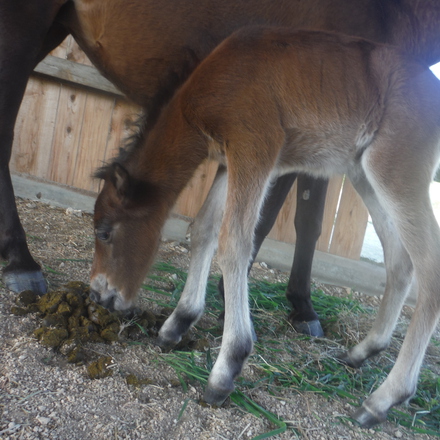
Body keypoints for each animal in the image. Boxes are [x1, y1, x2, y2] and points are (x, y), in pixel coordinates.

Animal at [2, 0, 440, 334]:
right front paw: (266, 303)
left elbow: (297, 220)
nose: (98, 295)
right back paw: (21, 264)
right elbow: (282, 220)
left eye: (105, 233)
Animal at [90, 27, 440, 426]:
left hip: (398, 170)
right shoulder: (228, 161)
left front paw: (227, 368)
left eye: (105, 232)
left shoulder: (255, 147)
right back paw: (362, 352)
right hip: (364, 173)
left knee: (429, 269)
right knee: (400, 261)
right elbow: (204, 229)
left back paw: (383, 399)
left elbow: (235, 243)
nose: (97, 294)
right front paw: (177, 324)